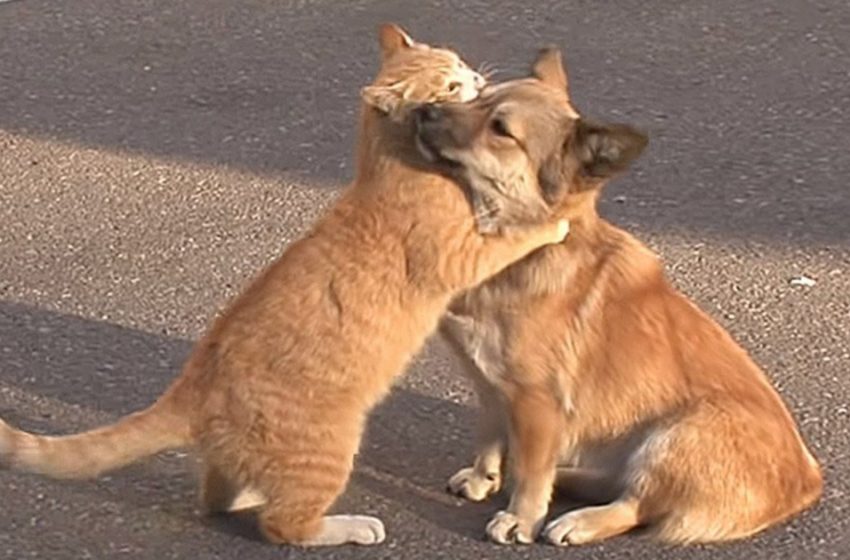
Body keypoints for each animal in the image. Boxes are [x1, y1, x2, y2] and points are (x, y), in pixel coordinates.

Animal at [1, 26, 568, 548]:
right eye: (451, 85)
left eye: (461, 66)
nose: (478, 79)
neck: (388, 162)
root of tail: (191, 388)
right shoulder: (464, 254)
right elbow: (515, 234)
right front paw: (552, 222)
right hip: (330, 450)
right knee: (284, 526)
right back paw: (350, 526)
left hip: (240, 462)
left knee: (216, 497)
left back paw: (247, 494)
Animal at [414, 49, 820, 548]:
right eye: (479, 96)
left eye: (500, 129)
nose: (424, 110)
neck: (525, 249)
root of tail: (807, 481)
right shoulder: (490, 385)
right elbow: (490, 439)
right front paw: (482, 477)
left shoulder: (537, 403)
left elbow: (531, 473)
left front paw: (521, 518)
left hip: (675, 434)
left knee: (636, 505)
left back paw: (579, 520)